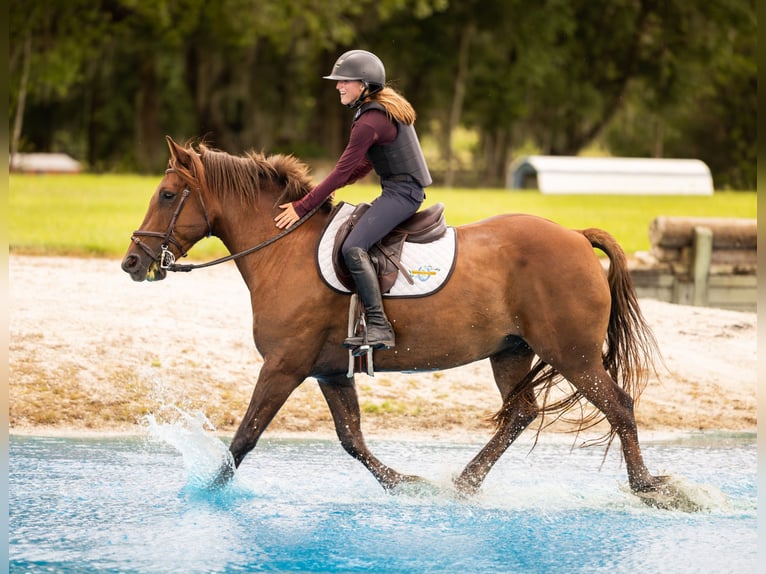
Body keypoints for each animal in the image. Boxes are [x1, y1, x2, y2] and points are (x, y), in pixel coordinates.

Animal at [122, 136, 687, 508]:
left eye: (167, 195)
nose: (131, 262)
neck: (284, 249)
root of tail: (574, 235)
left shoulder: (284, 366)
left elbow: (244, 438)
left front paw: (204, 490)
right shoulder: (329, 371)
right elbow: (352, 439)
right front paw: (407, 485)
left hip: (573, 354)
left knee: (618, 406)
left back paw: (649, 489)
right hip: (512, 351)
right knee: (520, 413)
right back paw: (462, 485)